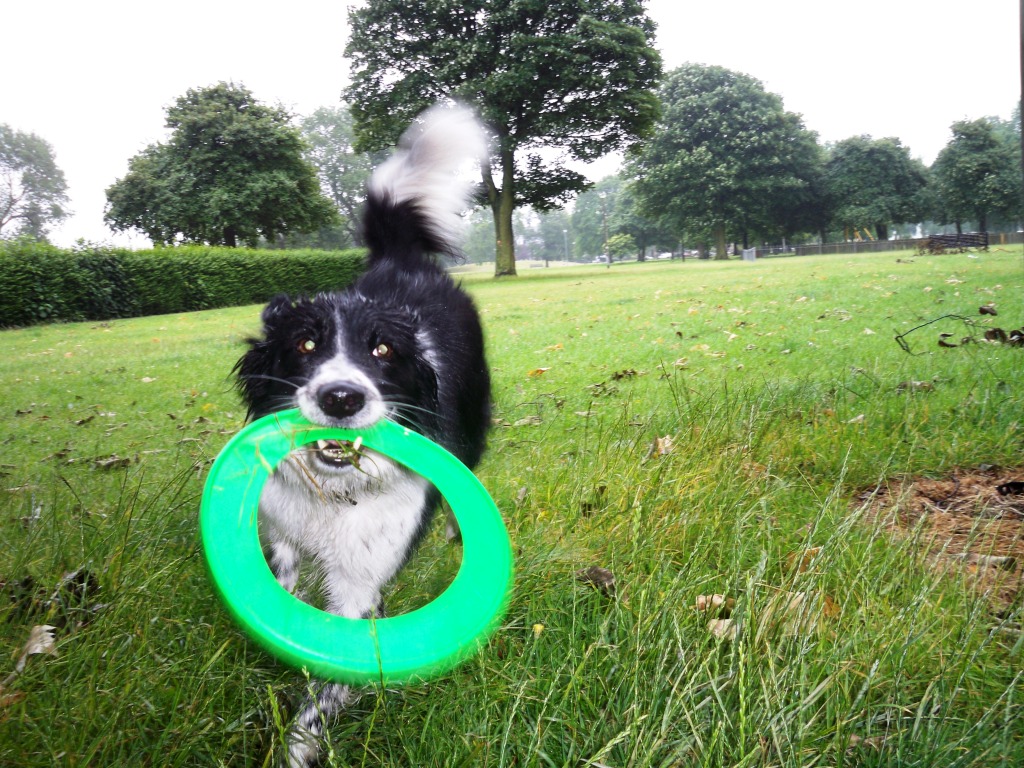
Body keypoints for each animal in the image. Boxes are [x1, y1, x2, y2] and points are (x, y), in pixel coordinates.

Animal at [234, 103, 489, 768]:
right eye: (304, 345)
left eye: (382, 351)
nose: (341, 398)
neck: (335, 494)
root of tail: (403, 259)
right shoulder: (278, 530)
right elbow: (281, 577)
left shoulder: (361, 582)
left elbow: (326, 685)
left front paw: (297, 746)